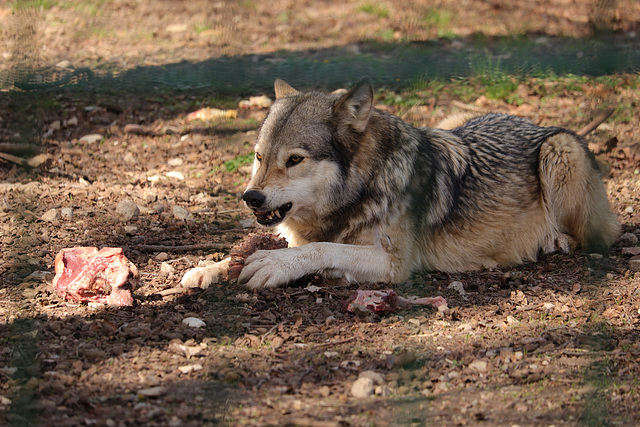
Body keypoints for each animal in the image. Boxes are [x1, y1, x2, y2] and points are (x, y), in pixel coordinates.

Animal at [181, 77, 620, 290]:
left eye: (294, 160)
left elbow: (321, 249)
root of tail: (534, 121)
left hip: (559, 150)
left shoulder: (395, 264)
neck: (365, 185)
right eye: (259, 158)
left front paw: (274, 265)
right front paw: (208, 269)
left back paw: (554, 240)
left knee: (598, 235)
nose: (251, 197)